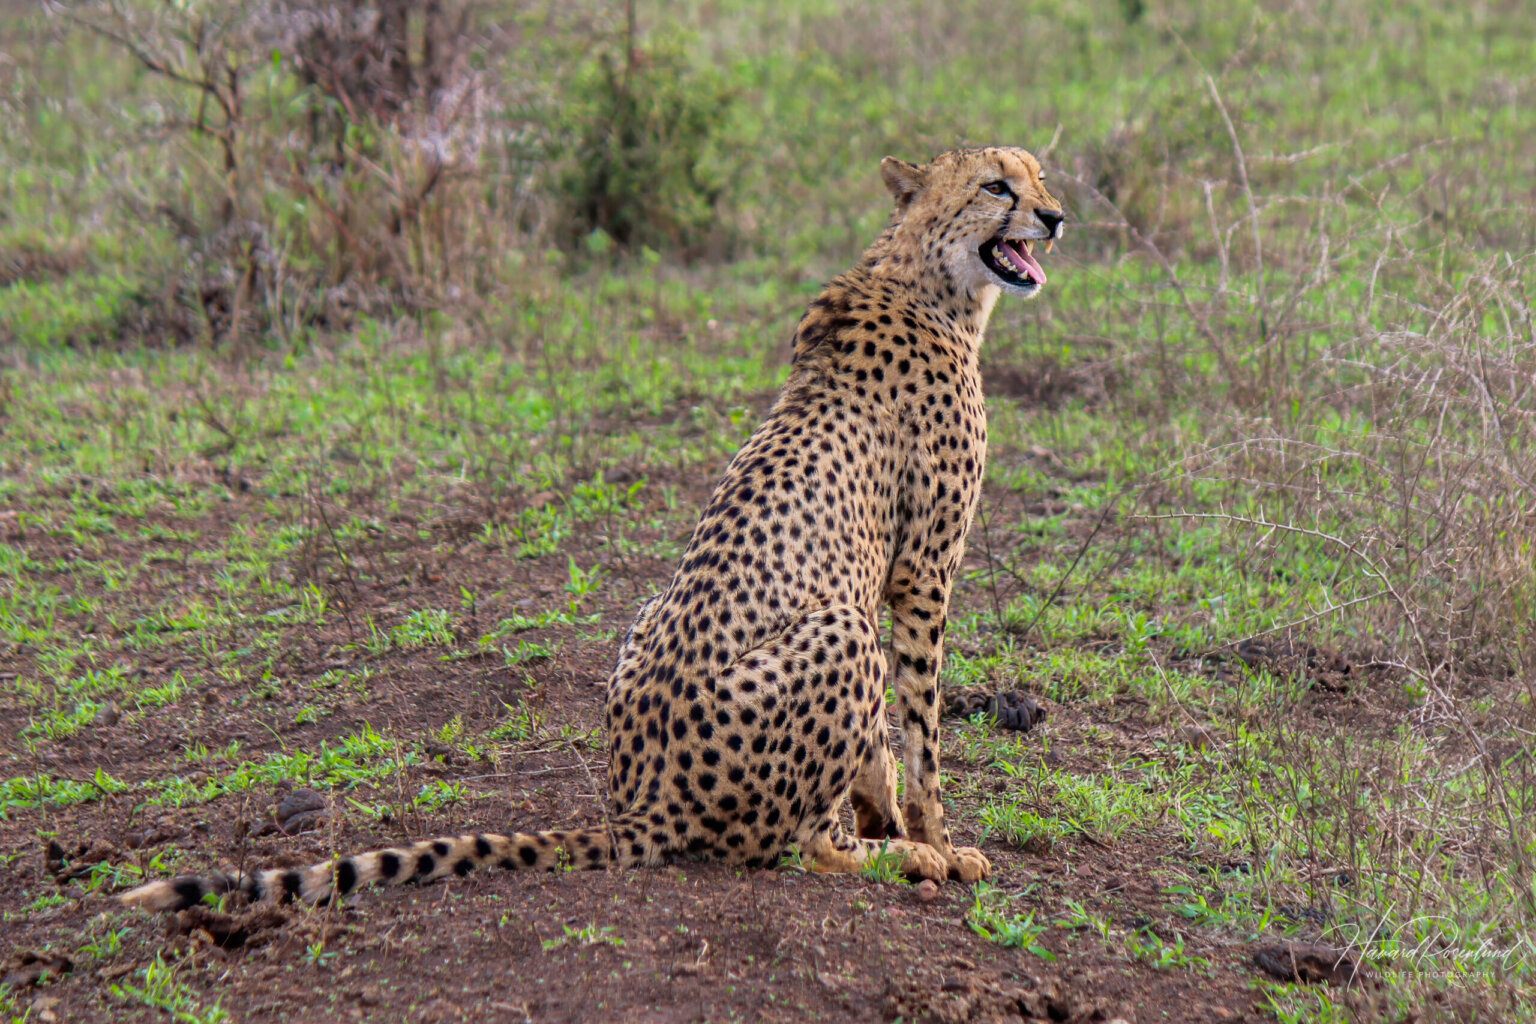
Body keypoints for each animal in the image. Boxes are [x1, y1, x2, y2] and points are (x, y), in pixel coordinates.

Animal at [119, 145, 1064, 913]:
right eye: (996, 185)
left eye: (1041, 176)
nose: (1056, 217)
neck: (928, 278)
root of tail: (636, 805)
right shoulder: (922, 572)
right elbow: (923, 726)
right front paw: (936, 838)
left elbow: (885, 747)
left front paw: (889, 812)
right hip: (834, 631)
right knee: (798, 847)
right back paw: (902, 861)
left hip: (653, 614)